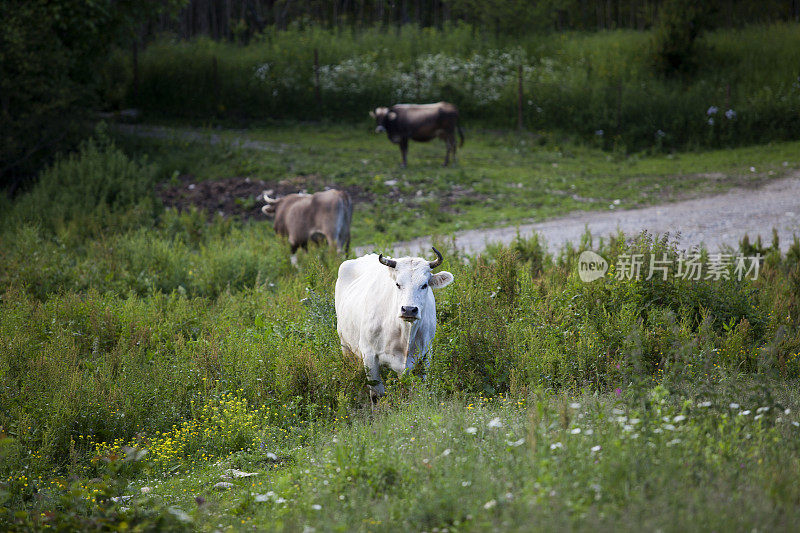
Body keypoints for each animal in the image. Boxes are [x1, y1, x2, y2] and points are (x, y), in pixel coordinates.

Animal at [334, 247, 454, 402]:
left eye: (424, 285)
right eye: (397, 284)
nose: (409, 309)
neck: (404, 332)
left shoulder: (426, 354)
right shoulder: (369, 355)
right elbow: (376, 395)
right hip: (345, 346)